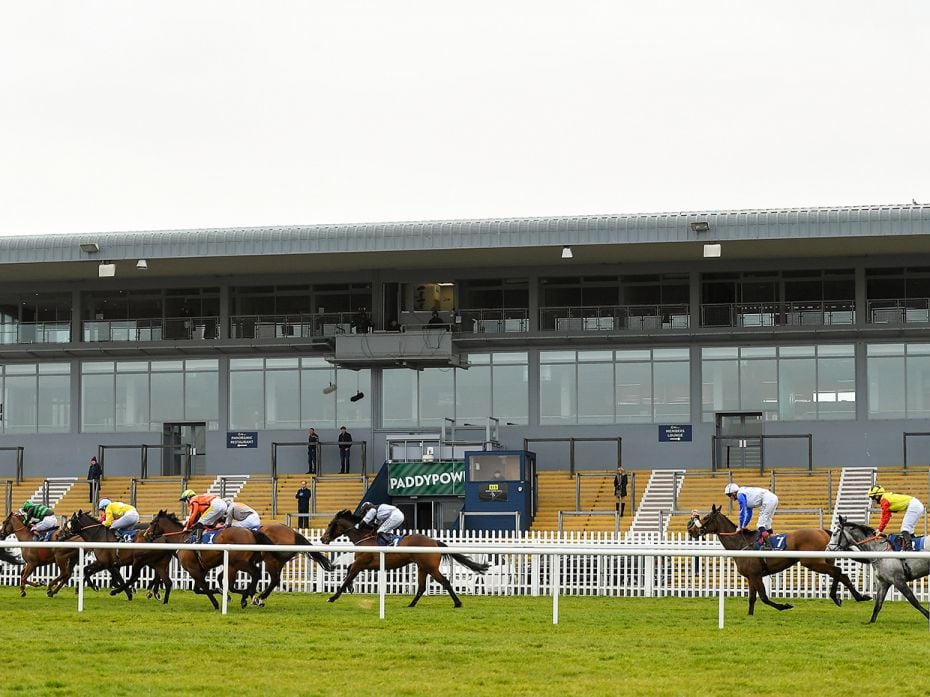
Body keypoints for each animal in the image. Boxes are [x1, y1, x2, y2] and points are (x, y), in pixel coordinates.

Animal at [320, 508, 490, 608]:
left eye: (330, 524)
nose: (322, 539)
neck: (364, 537)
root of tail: (434, 541)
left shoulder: (362, 563)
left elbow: (348, 576)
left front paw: (333, 597)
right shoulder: (366, 564)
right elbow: (348, 572)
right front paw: (349, 588)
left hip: (430, 568)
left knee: (445, 582)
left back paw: (457, 603)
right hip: (422, 567)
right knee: (421, 587)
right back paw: (411, 604)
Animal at [688, 502, 872, 612]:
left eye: (706, 517)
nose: (692, 530)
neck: (741, 544)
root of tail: (823, 531)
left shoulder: (755, 575)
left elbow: (763, 597)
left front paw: (784, 606)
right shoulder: (751, 576)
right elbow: (752, 599)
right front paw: (749, 617)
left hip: (812, 562)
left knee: (838, 572)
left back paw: (852, 596)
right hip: (825, 559)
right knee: (839, 573)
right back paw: (848, 597)